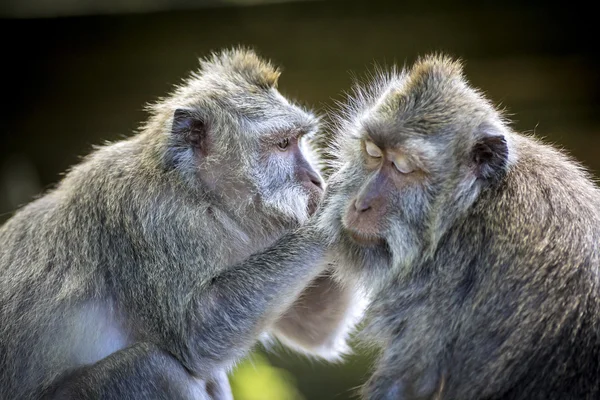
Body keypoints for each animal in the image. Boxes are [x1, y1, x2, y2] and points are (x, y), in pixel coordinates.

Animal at [0, 49, 366, 400]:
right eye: (282, 144)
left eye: (299, 140)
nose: (315, 180)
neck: (198, 195)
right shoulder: (145, 219)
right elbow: (196, 337)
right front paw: (342, 198)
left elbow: (315, 328)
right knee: (143, 367)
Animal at [314, 54, 600, 400]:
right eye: (372, 152)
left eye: (403, 166)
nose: (360, 203)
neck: (468, 208)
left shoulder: (445, 276)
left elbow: (411, 383)